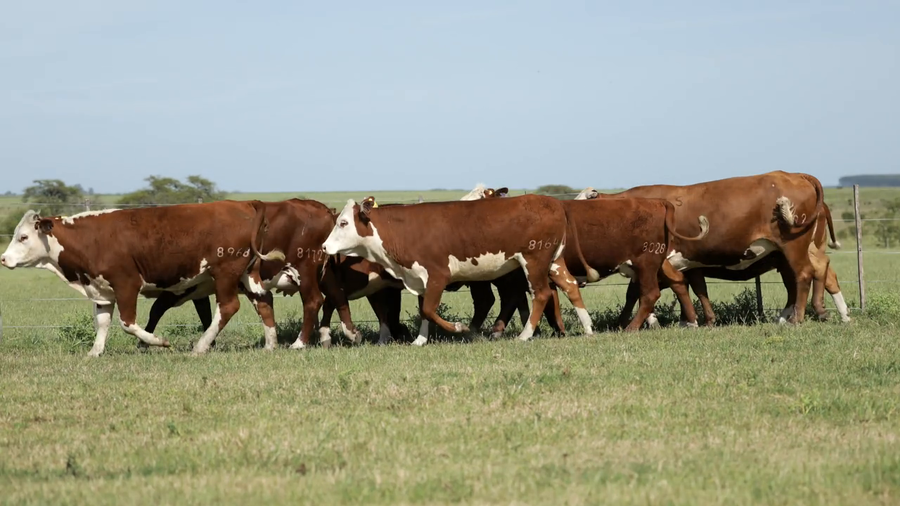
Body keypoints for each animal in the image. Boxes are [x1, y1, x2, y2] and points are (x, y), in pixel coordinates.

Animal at [0, 202, 285, 356]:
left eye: (23, 237)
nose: (3, 259)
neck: (91, 239)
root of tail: (243, 204)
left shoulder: (126, 284)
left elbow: (128, 323)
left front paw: (158, 342)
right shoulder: (101, 291)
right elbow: (102, 323)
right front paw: (95, 351)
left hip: (225, 272)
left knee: (228, 307)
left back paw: (201, 346)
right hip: (248, 274)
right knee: (263, 302)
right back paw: (270, 344)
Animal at [322, 194, 600, 345]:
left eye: (343, 223)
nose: (324, 246)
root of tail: (552, 202)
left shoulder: (437, 275)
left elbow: (428, 310)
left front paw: (460, 329)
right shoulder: (420, 279)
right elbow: (424, 312)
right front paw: (420, 340)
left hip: (534, 261)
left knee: (541, 294)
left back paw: (525, 335)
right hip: (554, 260)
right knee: (570, 286)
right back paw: (587, 328)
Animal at [573, 171, 845, 325]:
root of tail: (794, 174)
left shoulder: (659, 262)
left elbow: (645, 291)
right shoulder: (689, 263)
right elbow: (696, 288)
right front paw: (699, 320)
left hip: (793, 246)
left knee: (805, 275)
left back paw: (798, 317)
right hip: (798, 251)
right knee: (819, 272)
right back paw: (827, 313)